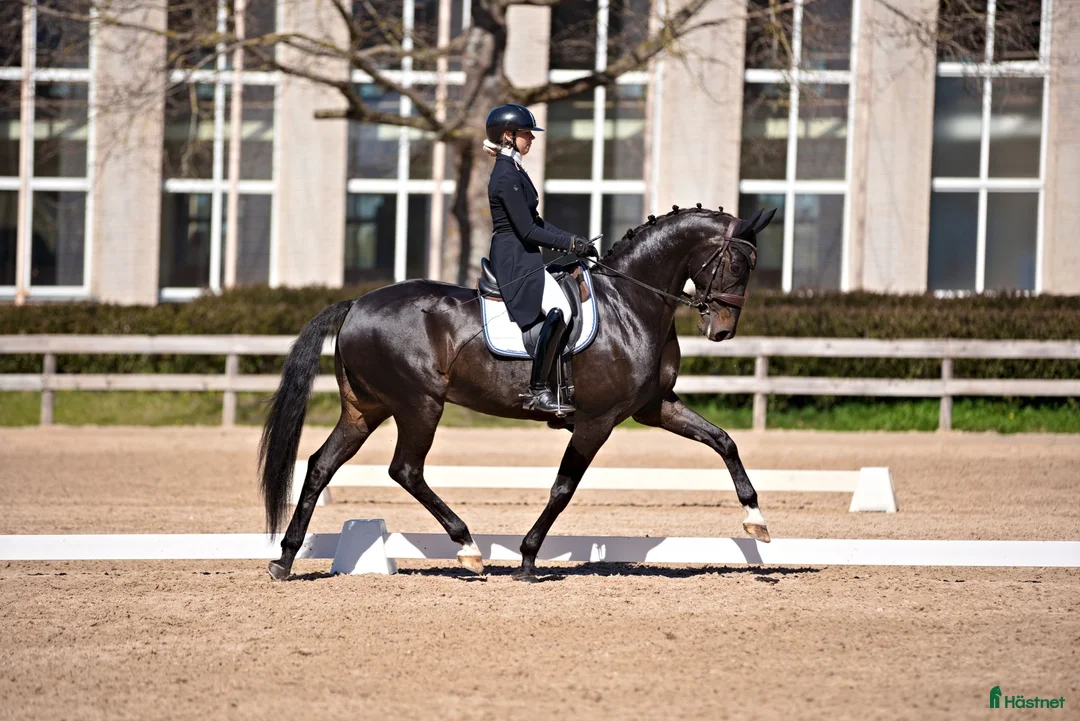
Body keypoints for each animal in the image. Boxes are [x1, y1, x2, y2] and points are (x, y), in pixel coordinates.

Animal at [259, 204, 777, 581]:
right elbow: (563, 488)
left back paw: (284, 560)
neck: (631, 303)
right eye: (737, 261)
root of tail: (356, 304)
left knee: (321, 465)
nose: (722, 331)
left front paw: (755, 519)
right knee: (405, 469)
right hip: (419, 405)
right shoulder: (597, 420)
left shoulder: (654, 407)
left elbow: (724, 440)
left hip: (365, 408)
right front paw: (528, 559)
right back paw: (468, 548)